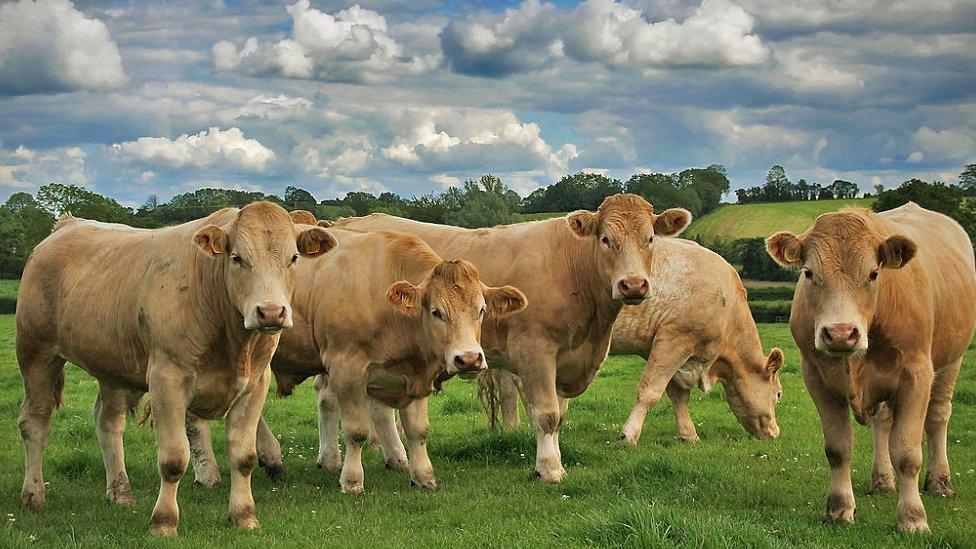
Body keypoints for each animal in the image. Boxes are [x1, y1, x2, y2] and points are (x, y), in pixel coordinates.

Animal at [14, 202, 336, 536]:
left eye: (293, 258)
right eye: (237, 258)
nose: (271, 312)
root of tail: (66, 224)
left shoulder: (255, 384)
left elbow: (244, 456)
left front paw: (244, 515)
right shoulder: (166, 380)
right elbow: (173, 459)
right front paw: (164, 521)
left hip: (112, 366)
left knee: (108, 423)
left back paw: (120, 493)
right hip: (36, 353)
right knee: (34, 423)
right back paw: (33, 494)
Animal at [178, 225, 524, 490]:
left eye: (481, 310)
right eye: (437, 312)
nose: (469, 359)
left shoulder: (414, 375)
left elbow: (418, 430)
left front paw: (423, 477)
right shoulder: (347, 368)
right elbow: (357, 430)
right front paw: (352, 481)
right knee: (196, 417)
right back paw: (208, 472)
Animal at [332, 195, 692, 482]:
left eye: (650, 238)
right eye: (605, 239)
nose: (633, 285)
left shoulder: (567, 359)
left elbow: (559, 416)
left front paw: (549, 460)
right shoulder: (535, 351)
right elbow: (546, 414)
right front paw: (549, 469)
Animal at [480, 238, 784, 444]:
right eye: (779, 394)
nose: (775, 432)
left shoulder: (661, 346)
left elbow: (677, 394)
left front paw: (688, 434)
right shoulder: (676, 338)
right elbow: (650, 392)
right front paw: (630, 434)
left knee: (508, 386)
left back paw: (512, 430)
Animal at [768, 202, 972, 532]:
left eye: (874, 273)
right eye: (809, 273)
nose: (840, 333)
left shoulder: (917, 374)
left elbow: (907, 452)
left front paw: (913, 517)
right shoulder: (816, 377)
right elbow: (838, 448)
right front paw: (839, 509)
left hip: (952, 359)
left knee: (939, 416)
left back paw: (940, 482)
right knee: (883, 420)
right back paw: (882, 480)